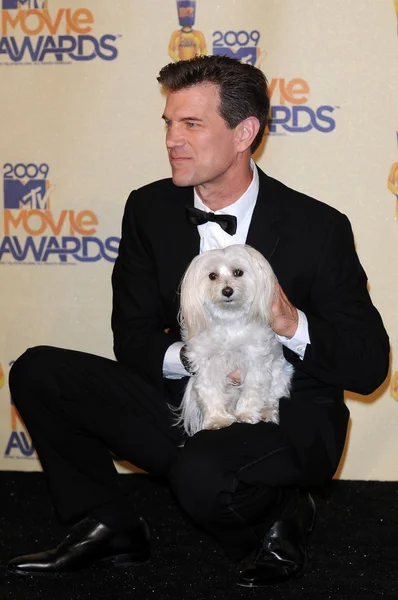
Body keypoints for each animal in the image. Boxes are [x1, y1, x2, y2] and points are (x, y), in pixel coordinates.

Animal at [177, 244, 292, 436]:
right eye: (212, 276)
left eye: (238, 272)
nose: (227, 291)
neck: (229, 319)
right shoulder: (207, 362)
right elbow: (210, 391)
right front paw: (217, 419)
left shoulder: (255, 359)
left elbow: (252, 389)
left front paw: (246, 414)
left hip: (279, 374)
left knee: (272, 397)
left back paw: (267, 412)